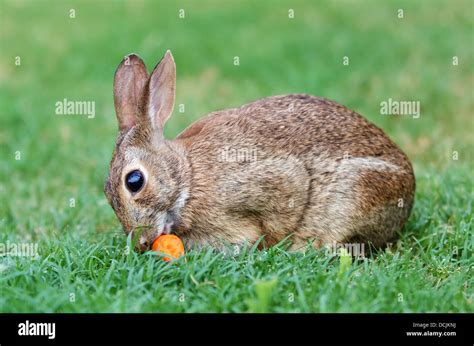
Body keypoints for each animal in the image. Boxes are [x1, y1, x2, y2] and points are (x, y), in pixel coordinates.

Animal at [103, 50, 414, 253]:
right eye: (106, 192)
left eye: (134, 181)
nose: (141, 243)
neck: (186, 179)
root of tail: (409, 191)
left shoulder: (275, 182)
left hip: (357, 190)